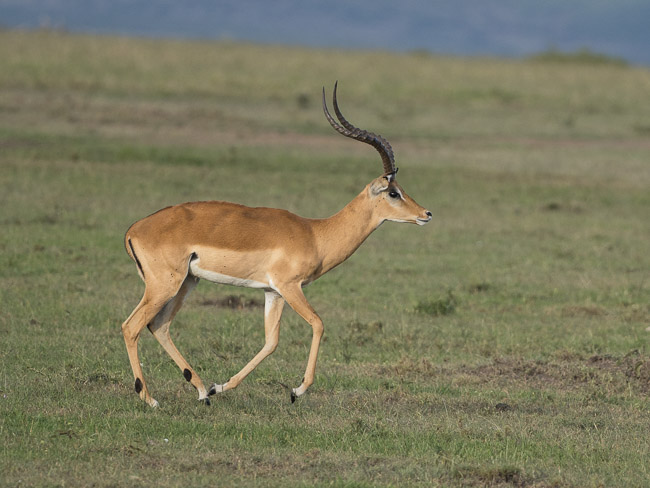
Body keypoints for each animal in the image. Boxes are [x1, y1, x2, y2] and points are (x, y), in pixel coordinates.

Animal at [121, 83, 432, 407]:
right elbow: (318, 323)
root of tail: (134, 229)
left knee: (159, 325)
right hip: (165, 285)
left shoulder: (273, 292)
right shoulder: (290, 286)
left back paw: (202, 391)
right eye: (393, 192)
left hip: (187, 282)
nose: (426, 214)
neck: (315, 233)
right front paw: (297, 391)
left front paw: (220, 387)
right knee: (131, 326)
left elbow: (271, 342)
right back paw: (150, 399)